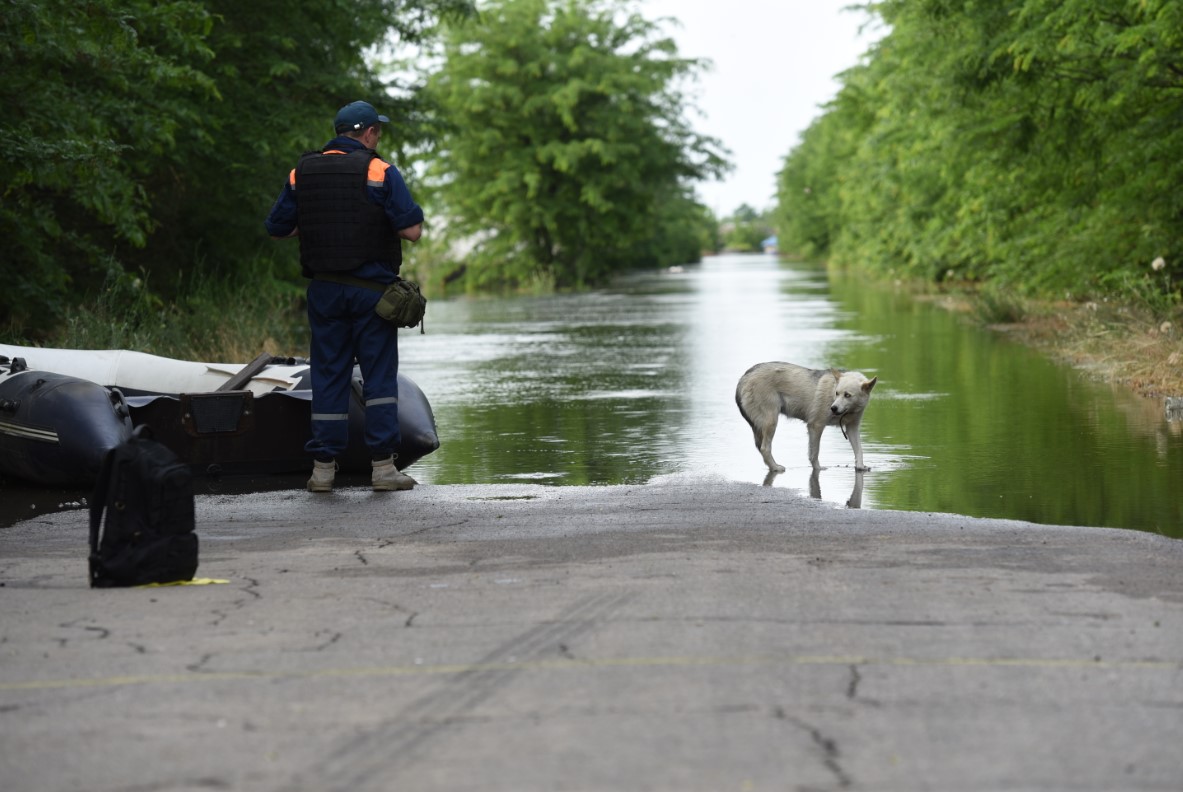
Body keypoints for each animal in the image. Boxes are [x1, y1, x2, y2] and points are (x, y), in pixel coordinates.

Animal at [733, 362, 875, 473]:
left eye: (847, 395)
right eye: (837, 393)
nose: (833, 408)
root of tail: (745, 376)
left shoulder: (852, 428)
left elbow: (859, 450)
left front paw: (860, 467)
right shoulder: (815, 426)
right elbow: (814, 453)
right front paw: (818, 468)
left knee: (761, 448)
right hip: (771, 422)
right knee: (765, 448)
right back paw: (775, 467)